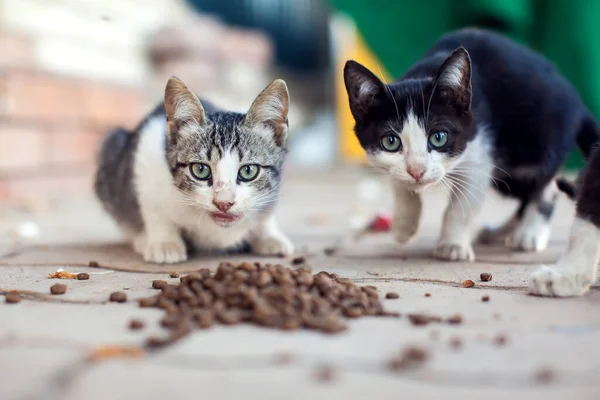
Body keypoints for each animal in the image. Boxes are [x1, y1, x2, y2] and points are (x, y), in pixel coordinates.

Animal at [95, 76, 294, 264]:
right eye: (200, 170)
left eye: (248, 171)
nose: (223, 203)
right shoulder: (146, 152)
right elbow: (154, 210)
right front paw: (165, 242)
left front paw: (269, 235)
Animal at [342, 27, 600, 260]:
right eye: (391, 142)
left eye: (438, 137)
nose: (417, 171)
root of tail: (576, 100)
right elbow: (399, 181)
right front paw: (405, 223)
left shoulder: (480, 148)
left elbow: (462, 205)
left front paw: (452, 245)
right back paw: (500, 232)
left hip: (537, 145)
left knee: (547, 183)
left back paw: (530, 232)